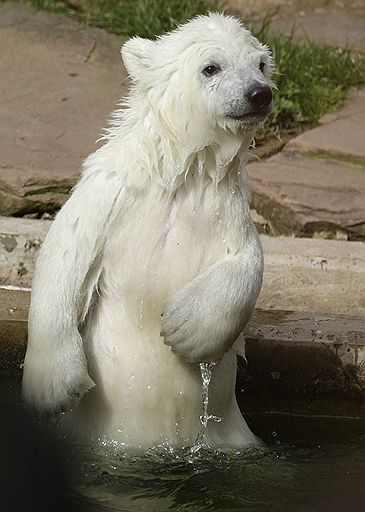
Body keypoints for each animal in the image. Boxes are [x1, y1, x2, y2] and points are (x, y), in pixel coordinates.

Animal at [22, 13, 272, 448]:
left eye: (260, 64)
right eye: (211, 67)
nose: (260, 94)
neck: (180, 174)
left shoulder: (227, 208)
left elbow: (248, 259)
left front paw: (185, 328)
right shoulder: (110, 196)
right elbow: (65, 253)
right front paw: (54, 386)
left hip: (235, 437)